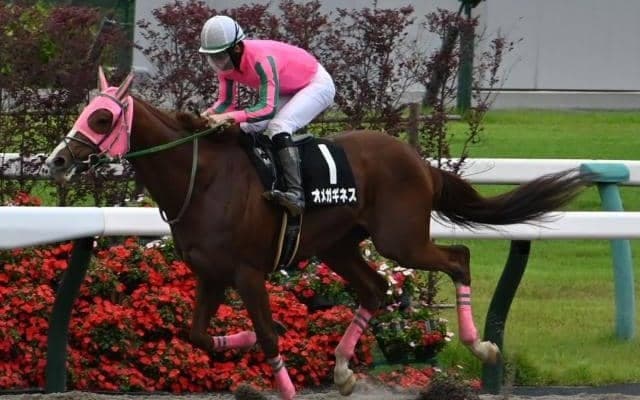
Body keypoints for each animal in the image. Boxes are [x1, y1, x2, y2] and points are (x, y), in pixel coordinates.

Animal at [45, 69, 591, 399]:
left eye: (101, 117)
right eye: (83, 112)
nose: (58, 161)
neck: (202, 179)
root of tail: (419, 161)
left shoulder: (247, 272)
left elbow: (268, 334)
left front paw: (274, 360)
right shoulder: (210, 274)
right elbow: (200, 335)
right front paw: (242, 340)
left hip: (400, 240)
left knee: (457, 258)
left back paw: (482, 347)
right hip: (339, 245)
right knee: (375, 288)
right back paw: (344, 370)